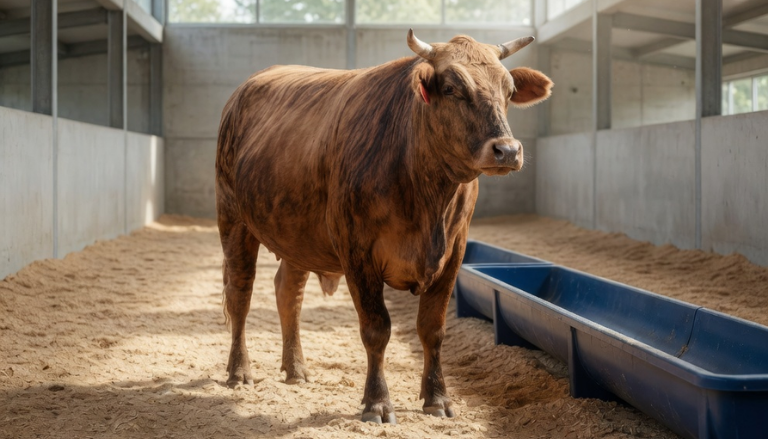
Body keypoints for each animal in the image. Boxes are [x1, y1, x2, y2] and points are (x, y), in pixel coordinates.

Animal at [215, 30, 553, 424]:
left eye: (510, 91)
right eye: (451, 88)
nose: (508, 150)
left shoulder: (454, 251)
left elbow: (433, 329)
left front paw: (437, 397)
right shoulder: (357, 250)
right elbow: (377, 329)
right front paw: (377, 402)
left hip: (296, 232)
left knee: (288, 294)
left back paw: (296, 369)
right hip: (233, 218)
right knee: (240, 294)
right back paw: (239, 371)